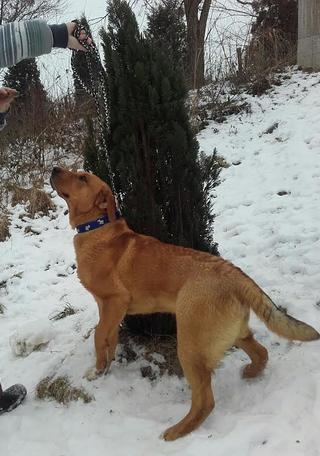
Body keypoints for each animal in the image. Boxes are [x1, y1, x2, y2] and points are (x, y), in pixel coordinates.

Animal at [50, 167, 320, 442]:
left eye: (82, 178)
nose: (54, 169)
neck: (97, 229)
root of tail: (235, 274)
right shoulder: (109, 309)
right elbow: (109, 338)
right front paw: (105, 366)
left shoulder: (115, 301)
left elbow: (98, 335)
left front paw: (97, 369)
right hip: (231, 333)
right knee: (261, 352)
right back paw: (250, 373)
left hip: (190, 344)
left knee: (205, 400)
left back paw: (177, 431)